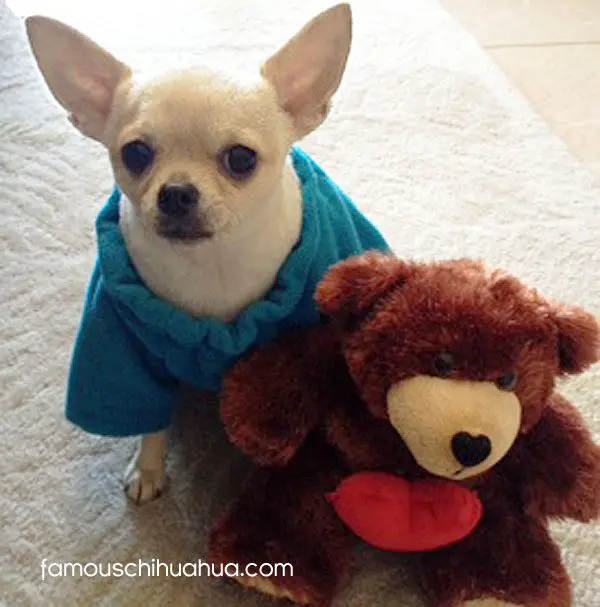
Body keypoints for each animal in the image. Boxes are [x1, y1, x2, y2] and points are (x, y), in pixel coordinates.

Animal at [26, 3, 389, 504]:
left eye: (241, 159)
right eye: (135, 154)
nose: (176, 192)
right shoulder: (127, 350)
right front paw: (148, 468)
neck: (213, 264)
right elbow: (150, 421)